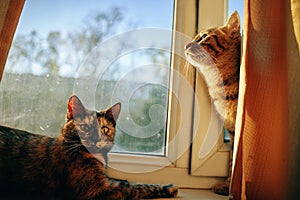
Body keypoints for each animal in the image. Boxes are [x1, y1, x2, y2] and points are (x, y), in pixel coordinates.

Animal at [0, 95, 178, 198]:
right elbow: (134, 187)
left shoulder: (103, 180)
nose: (95, 139)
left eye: (104, 129)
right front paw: (168, 187)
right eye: (85, 128)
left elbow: (122, 180)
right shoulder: (96, 189)